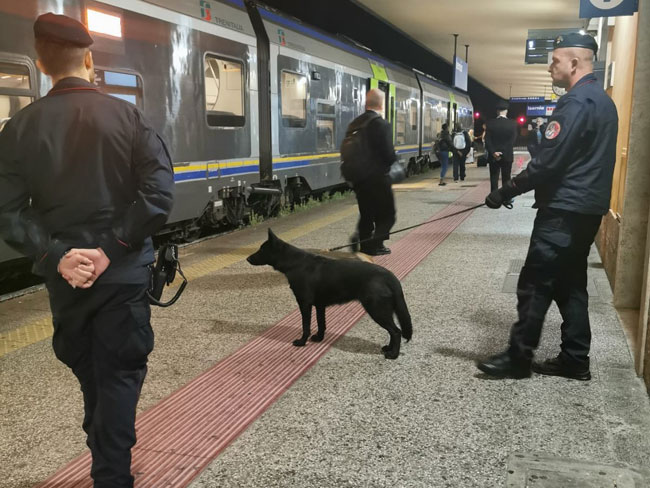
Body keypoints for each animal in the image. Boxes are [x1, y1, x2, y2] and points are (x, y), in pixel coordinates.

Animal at [246, 229, 412, 358]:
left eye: (262, 249)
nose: (247, 258)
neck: (295, 262)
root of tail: (389, 276)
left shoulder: (304, 304)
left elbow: (306, 325)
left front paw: (302, 342)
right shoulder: (320, 305)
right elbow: (321, 324)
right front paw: (319, 338)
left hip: (377, 310)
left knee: (396, 332)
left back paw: (393, 354)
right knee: (393, 332)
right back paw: (389, 348)